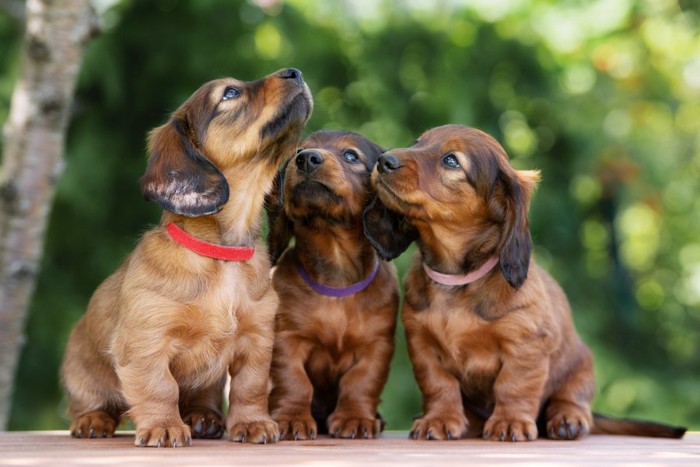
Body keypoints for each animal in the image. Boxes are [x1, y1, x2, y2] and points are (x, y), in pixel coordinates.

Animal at [60, 67, 312, 448]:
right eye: (230, 94)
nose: (295, 72)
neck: (223, 256)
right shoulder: (147, 341)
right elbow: (159, 387)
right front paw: (164, 425)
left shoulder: (256, 339)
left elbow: (250, 387)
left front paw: (253, 423)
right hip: (82, 373)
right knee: (93, 404)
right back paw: (94, 420)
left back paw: (203, 417)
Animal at [266, 131, 400, 438]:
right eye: (298, 152)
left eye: (351, 155)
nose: (306, 159)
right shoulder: (287, 338)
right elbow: (294, 380)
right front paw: (291, 418)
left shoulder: (376, 345)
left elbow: (360, 382)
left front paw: (356, 419)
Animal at [364, 124, 688, 442]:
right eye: (416, 143)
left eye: (451, 160)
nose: (384, 161)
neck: (458, 280)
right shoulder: (423, 345)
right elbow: (438, 384)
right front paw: (440, 419)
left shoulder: (525, 344)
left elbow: (513, 385)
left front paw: (510, 422)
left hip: (581, 365)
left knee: (573, 400)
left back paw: (568, 419)